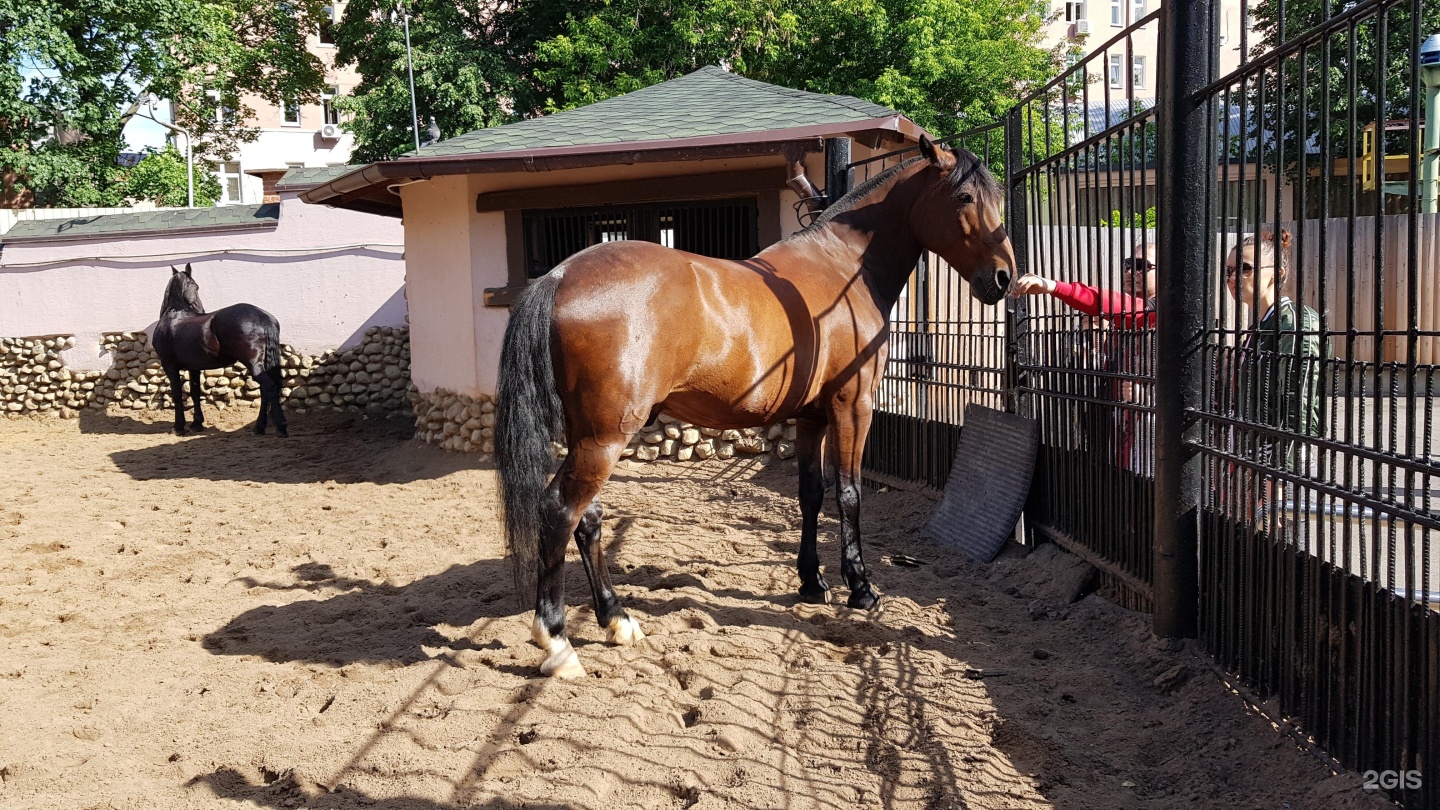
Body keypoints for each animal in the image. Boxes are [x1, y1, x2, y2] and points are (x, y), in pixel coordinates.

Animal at [152, 263, 286, 435]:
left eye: (196, 286)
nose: (201, 310)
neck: (174, 315)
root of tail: (261, 316)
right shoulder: (194, 367)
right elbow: (195, 392)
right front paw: (197, 423)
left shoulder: (169, 365)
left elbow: (176, 393)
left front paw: (179, 426)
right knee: (266, 390)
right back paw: (259, 427)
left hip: (253, 364)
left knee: (268, 387)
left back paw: (280, 426)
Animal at [495, 136, 1013, 674]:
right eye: (964, 198)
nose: (1003, 278)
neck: (844, 269)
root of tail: (558, 275)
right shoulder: (853, 406)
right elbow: (849, 494)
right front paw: (860, 587)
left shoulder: (811, 418)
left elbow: (812, 494)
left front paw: (812, 583)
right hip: (604, 439)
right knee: (559, 512)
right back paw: (557, 641)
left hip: (588, 439)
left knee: (588, 518)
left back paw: (617, 618)